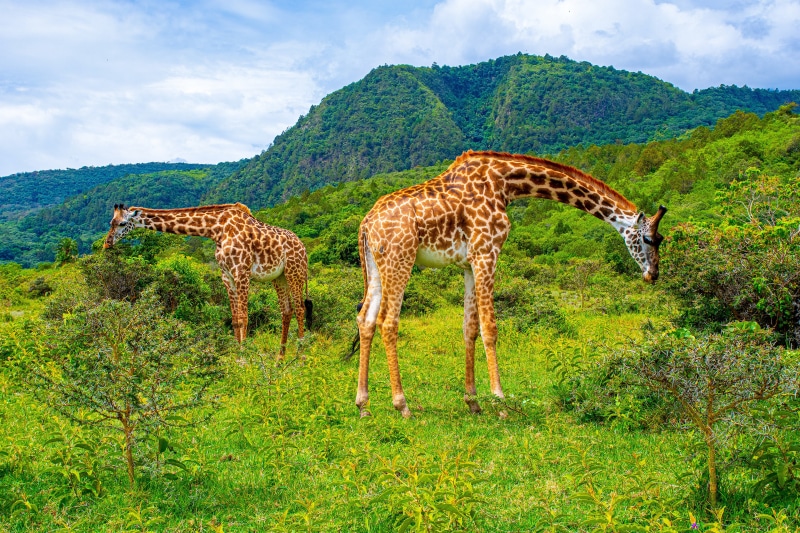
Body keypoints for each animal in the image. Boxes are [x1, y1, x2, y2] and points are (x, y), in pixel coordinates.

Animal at [103, 202, 311, 354]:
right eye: (111, 222)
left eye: (122, 224)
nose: (107, 243)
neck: (216, 229)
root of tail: (304, 248)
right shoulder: (227, 276)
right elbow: (235, 319)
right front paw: (238, 359)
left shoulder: (241, 272)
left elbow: (244, 317)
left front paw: (245, 359)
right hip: (279, 277)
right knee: (287, 311)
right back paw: (279, 360)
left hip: (294, 272)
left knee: (300, 309)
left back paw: (300, 356)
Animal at [353, 150, 666, 418]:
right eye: (650, 239)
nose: (653, 274)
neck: (505, 183)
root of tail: (366, 223)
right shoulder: (487, 252)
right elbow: (490, 329)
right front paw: (500, 402)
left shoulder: (469, 263)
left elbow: (469, 328)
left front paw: (473, 402)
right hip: (400, 258)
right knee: (388, 321)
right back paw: (401, 404)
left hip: (377, 266)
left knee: (365, 319)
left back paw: (363, 405)